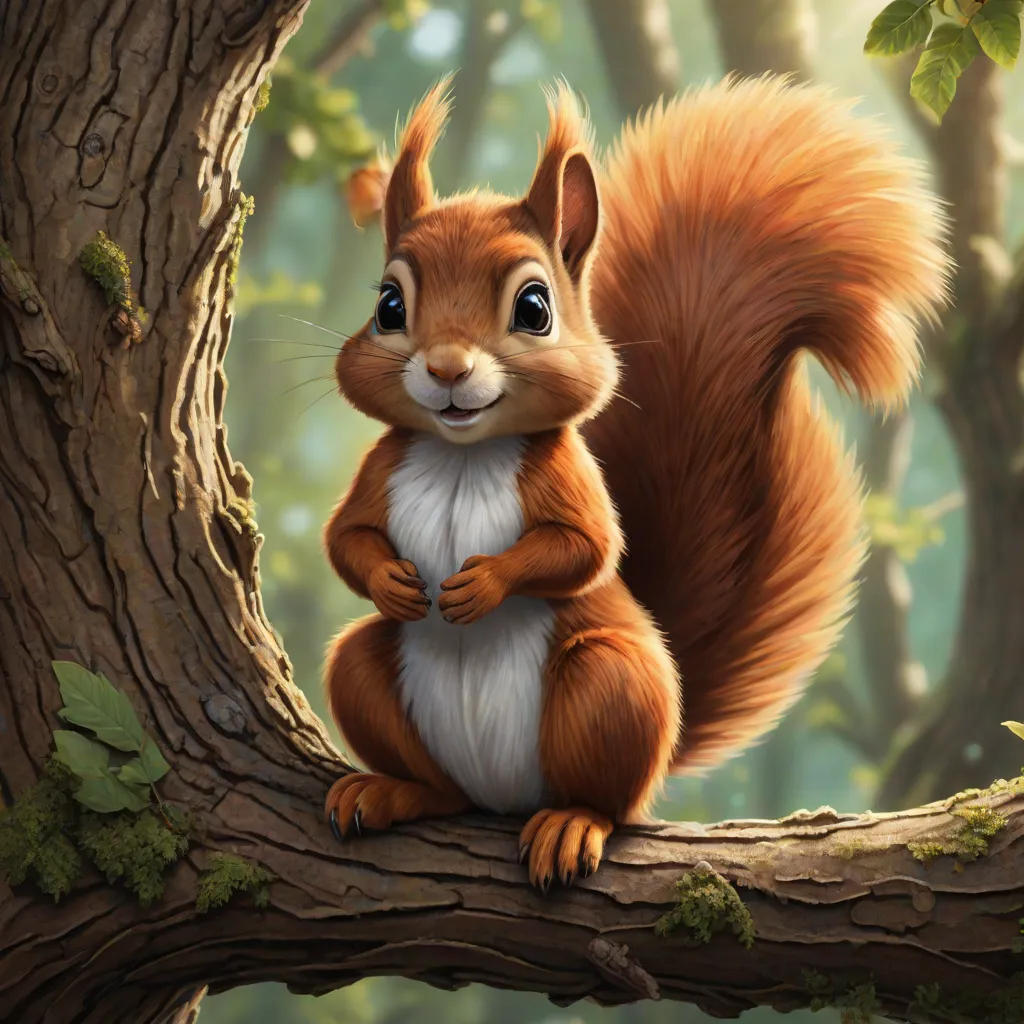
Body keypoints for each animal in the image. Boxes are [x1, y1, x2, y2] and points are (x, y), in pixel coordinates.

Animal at [322, 75, 948, 890]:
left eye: (534, 307)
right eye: (388, 306)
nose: (448, 369)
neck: (462, 454)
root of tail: (501, 798)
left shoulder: (569, 481)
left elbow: (585, 549)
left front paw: (484, 583)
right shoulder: (383, 468)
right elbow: (348, 538)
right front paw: (392, 581)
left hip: (610, 685)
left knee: (608, 799)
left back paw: (572, 822)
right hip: (366, 675)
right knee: (425, 762)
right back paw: (393, 790)